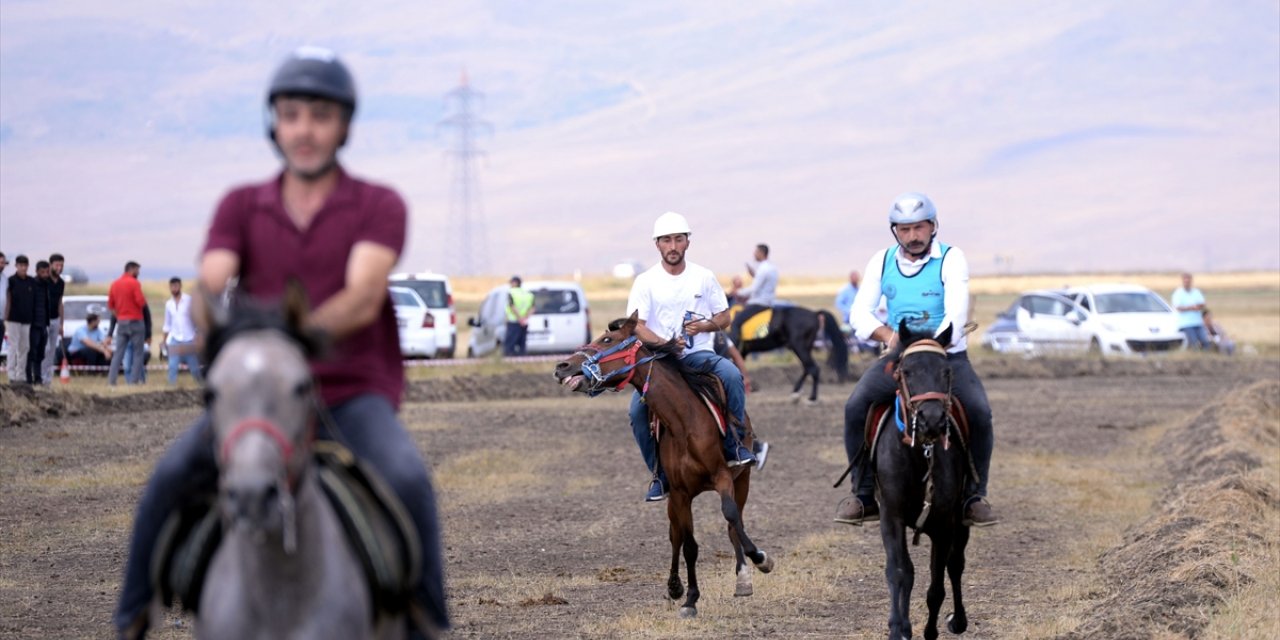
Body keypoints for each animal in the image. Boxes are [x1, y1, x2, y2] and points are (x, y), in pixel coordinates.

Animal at [555, 312, 773, 616]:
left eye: (607, 339)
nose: (562, 366)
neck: (685, 422)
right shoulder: (681, 494)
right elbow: (688, 545)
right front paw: (690, 598)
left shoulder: (723, 477)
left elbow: (730, 516)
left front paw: (760, 558)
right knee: (675, 536)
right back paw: (674, 587)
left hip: (742, 479)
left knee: (733, 522)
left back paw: (743, 578)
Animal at [875, 320, 972, 640]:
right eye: (906, 371)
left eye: (947, 371)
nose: (931, 420)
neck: (919, 455)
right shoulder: (890, 516)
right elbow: (900, 571)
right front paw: (898, 628)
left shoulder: (943, 525)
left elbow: (937, 585)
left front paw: (930, 631)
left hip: (960, 519)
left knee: (956, 564)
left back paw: (958, 620)